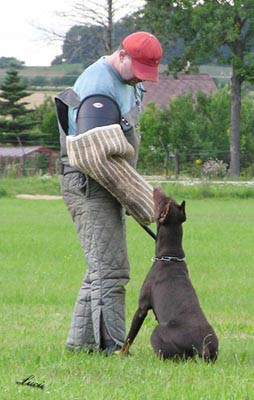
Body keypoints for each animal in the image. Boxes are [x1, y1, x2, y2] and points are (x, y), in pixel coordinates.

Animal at [119, 189, 218, 360]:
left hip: (157, 331)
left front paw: (120, 353)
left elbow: (130, 337)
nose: (157, 188)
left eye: (162, 200)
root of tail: (202, 347)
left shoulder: (142, 307)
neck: (170, 255)